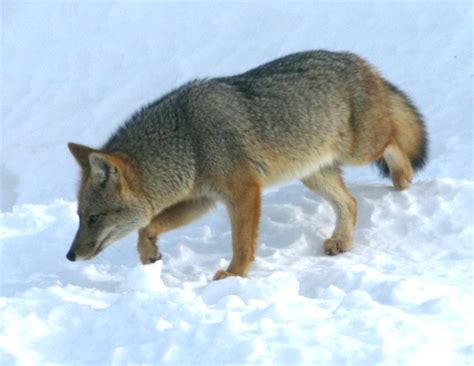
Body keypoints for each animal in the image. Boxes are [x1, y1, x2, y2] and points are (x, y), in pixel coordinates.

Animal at [65, 50, 426, 280]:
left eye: (94, 218)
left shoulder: (243, 192)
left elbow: (242, 244)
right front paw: (148, 254)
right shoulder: (203, 199)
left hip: (360, 151)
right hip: (312, 175)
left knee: (394, 142)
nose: (70, 256)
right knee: (350, 202)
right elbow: (148, 226)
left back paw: (403, 178)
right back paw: (341, 240)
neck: (188, 140)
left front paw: (234, 275)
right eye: (80, 216)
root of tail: (363, 63)